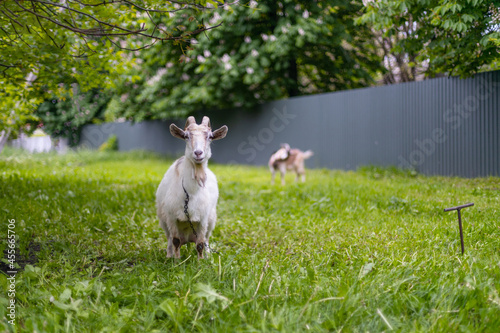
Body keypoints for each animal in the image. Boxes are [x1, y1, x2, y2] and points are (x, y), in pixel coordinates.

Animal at [156, 115, 229, 258]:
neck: (190, 194)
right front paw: (176, 261)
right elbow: (175, 241)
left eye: (210, 137)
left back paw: (208, 256)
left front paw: (201, 262)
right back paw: (168, 255)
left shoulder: (203, 219)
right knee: (169, 239)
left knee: (206, 240)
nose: (198, 153)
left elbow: (200, 244)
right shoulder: (171, 217)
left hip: (211, 220)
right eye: (186, 136)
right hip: (163, 221)